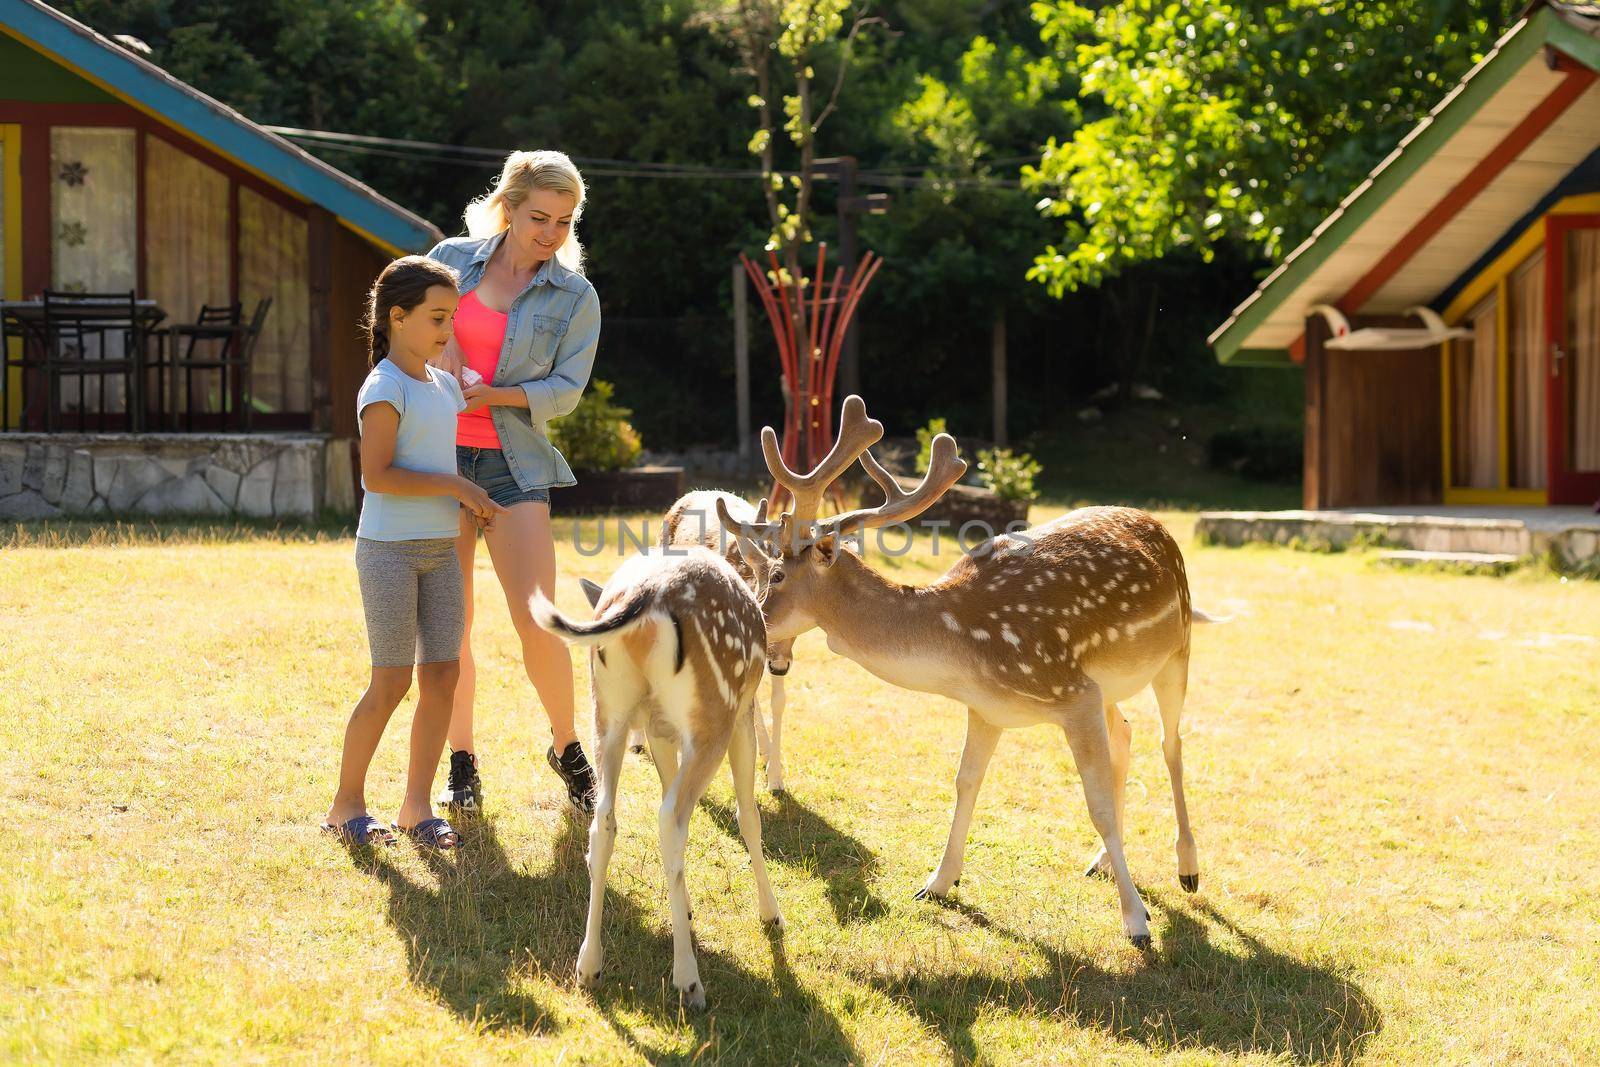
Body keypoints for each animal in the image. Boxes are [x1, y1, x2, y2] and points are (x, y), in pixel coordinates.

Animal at [534, 550, 784, 1011]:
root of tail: (647, 595)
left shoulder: (658, 728)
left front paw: (685, 908)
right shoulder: (742, 714)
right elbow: (748, 816)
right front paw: (771, 914)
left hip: (607, 711)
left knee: (605, 820)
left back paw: (588, 966)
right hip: (714, 716)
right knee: (670, 819)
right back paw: (688, 981)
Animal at [713, 396, 1209, 947]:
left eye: (777, 574)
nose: (752, 615)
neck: (964, 648)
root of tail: (1160, 527)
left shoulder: (1071, 691)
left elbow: (1095, 802)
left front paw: (1136, 920)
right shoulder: (988, 707)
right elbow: (965, 780)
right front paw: (937, 882)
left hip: (1178, 649)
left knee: (1171, 743)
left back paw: (1187, 869)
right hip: (1110, 686)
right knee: (1126, 732)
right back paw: (1101, 861)